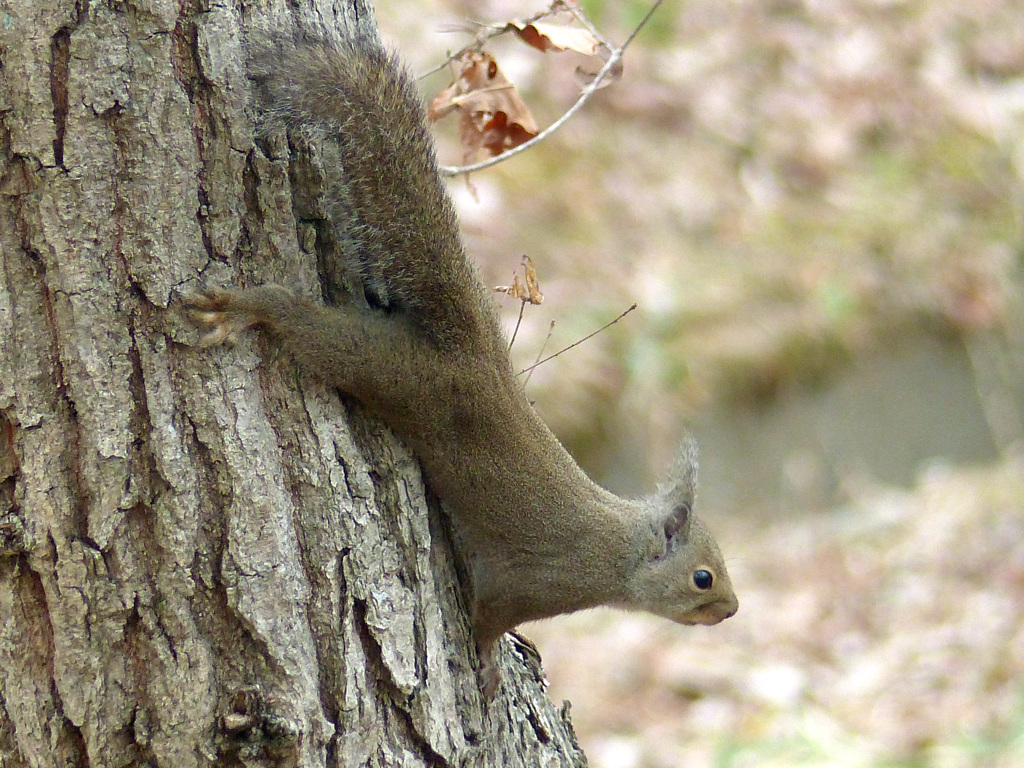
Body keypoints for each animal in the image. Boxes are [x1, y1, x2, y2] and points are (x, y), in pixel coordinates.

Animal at [188, 28, 737, 692]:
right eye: (703, 578)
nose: (731, 610)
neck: (620, 552)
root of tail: (473, 350)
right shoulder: (537, 583)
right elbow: (491, 616)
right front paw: (489, 659)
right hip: (387, 370)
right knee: (304, 324)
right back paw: (248, 308)